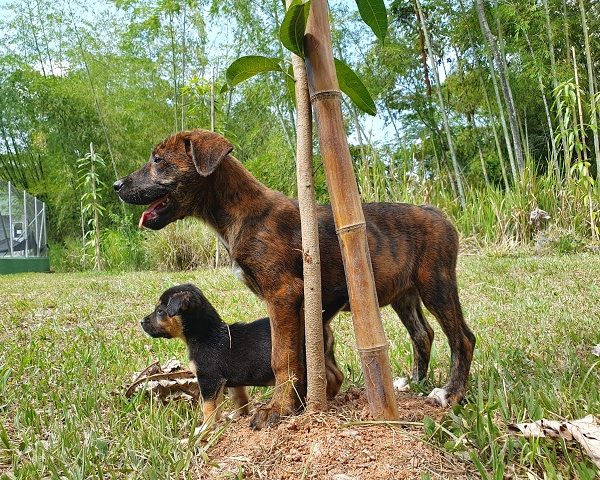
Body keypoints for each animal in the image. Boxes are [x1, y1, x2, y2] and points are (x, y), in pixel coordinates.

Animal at [141, 283, 274, 423]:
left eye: (160, 311)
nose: (141, 322)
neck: (205, 335)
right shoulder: (232, 381)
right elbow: (239, 399)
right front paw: (236, 417)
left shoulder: (208, 379)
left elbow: (208, 407)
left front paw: (205, 426)